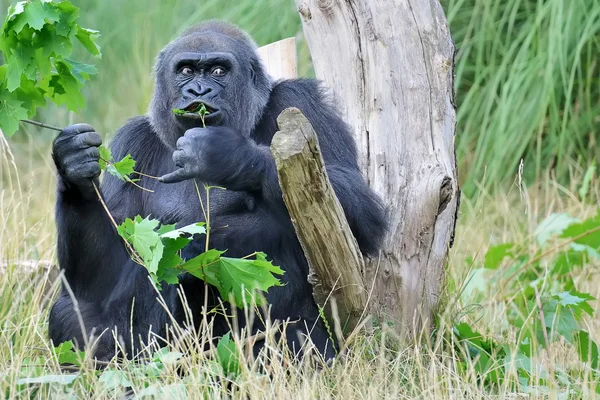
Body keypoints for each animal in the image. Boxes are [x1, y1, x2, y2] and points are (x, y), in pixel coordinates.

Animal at [49, 20, 386, 360]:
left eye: (218, 71)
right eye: (186, 70)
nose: (198, 91)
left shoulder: (300, 101)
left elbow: (363, 218)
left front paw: (227, 156)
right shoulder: (132, 140)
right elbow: (107, 273)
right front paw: (75, 168)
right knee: (69, 311)